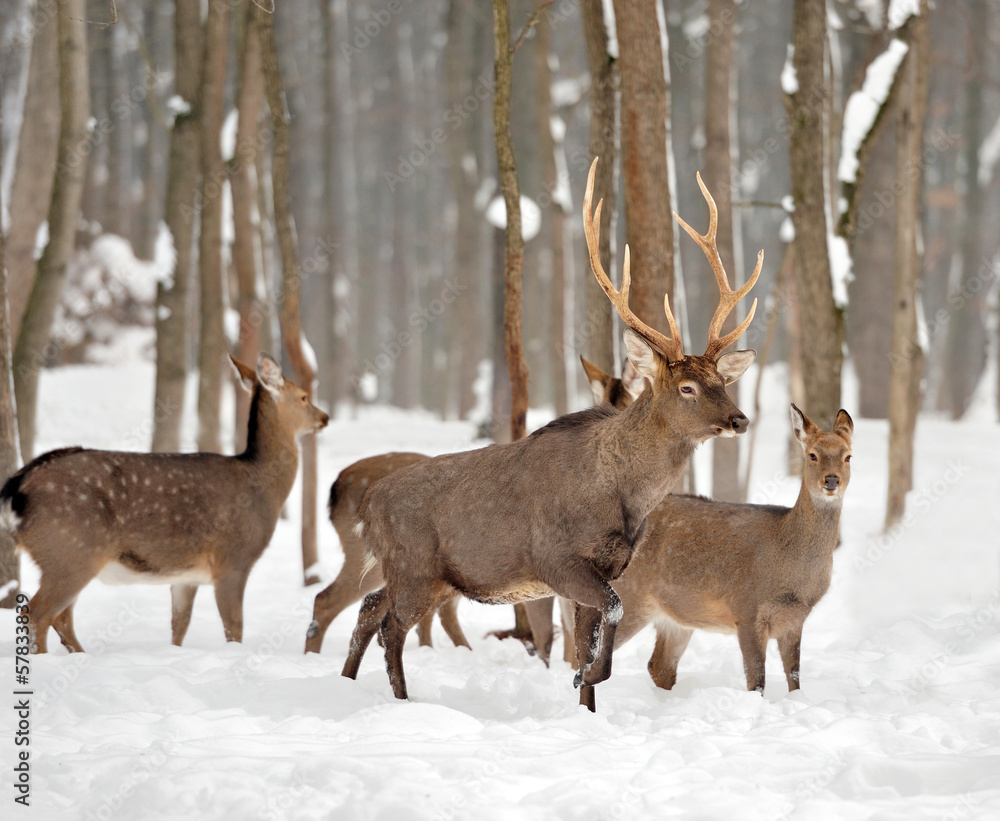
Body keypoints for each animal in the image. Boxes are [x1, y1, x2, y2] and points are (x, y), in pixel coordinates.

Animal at [0, 352, 328, 652]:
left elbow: (179, 625)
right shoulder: (234, 558)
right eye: (303, 396)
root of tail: (16, 488)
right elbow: (234, 627)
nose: (324, 417)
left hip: (64, 554)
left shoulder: (187, 574)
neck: (262, 485)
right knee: (38, 613)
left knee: (60, 617)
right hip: (71, 548)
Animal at [340, 159, 760, 700]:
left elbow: (587, 638)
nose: (739, 419)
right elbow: (608, 618)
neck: (623, 497)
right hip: (414, 566)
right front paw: (590, 674)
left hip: (418, 574)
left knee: (369, 609)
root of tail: (368, 507)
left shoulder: (606, 569)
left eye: (722, 381)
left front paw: (586, 692)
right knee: (390, 626)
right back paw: (401, 699)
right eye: (687, 386)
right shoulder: (559, 561)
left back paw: (346, 684)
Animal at [576, 404, 856, 712]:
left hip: (676, 617)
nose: (831, 480)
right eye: (812, 455)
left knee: (658, 666)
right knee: (586, 658)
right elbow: (757, 681)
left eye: (848, 456)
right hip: (630, 598)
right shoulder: (747, 609)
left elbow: (794, 678)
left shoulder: (795, 620)